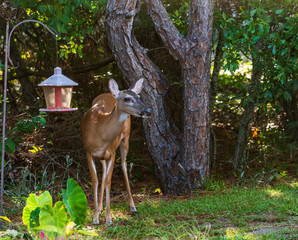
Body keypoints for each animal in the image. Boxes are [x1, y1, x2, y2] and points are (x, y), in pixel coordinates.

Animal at [81, 78, 151, 225]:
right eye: (127, 98)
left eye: (139, 96)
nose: (148, 110)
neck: (100, 131)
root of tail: (108, 93)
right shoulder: (88, 152)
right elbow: (95, 180)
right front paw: (95, 218)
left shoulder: (112, 153)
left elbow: (109, 181)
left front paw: (108, 219)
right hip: (103, 155)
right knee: (103, 171)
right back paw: (100, 207)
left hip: (126, 138)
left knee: (123, 164)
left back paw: (132, 206)